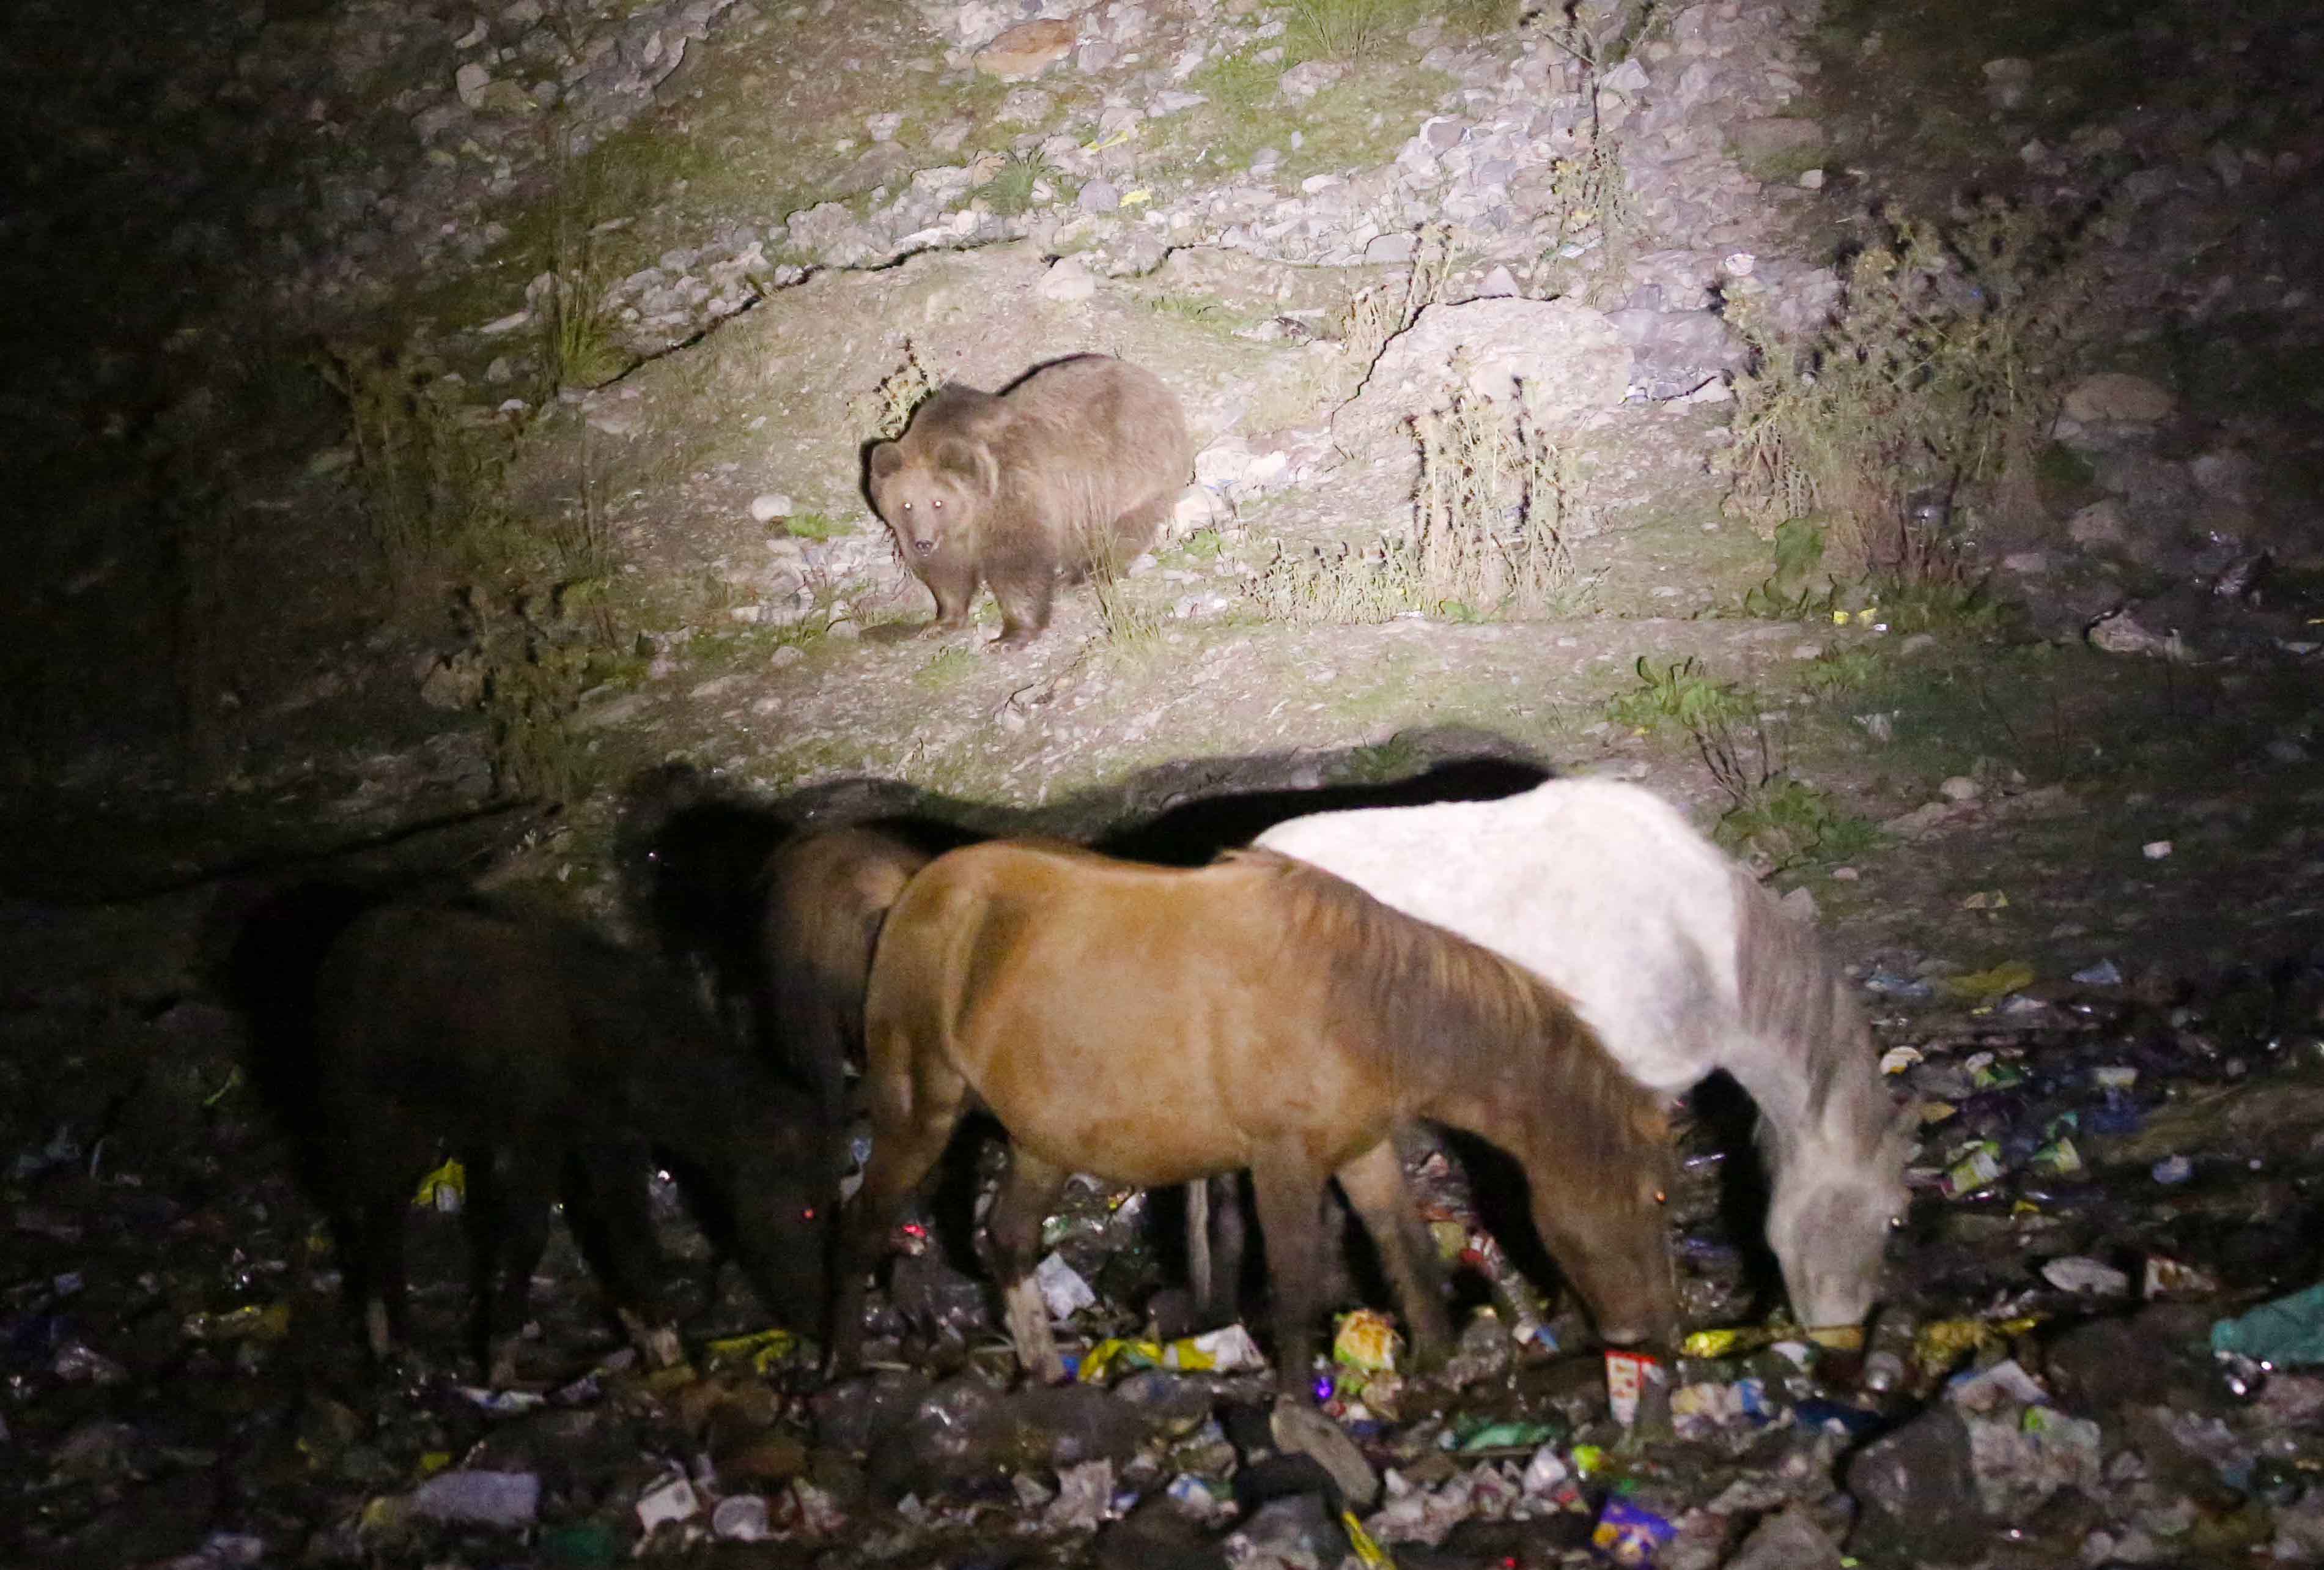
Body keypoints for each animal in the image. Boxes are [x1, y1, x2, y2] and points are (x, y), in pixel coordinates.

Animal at [295, 902, 832, 1386]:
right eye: (807, 1212)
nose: (820, 1320)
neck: (635, 1057)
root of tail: (343, 946)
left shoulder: (610, 1139)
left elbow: (631, 1231)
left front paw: (662, 1341)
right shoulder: (532, 1135)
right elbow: (530, 1235)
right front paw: (501, 1354)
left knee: (380, 1206)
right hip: (365, 1106)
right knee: (368, 1206)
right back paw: (393, 1336)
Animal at [827, 842, 1682, 1395]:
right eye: (1651, 1196)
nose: (1655, 1341)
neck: (1358, 1004)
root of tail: (915, 891)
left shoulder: (1363, 1148)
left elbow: (1403, 1246)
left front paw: (1439, 1361)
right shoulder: (1284, 1160)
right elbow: (1296, 1279)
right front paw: (1302, 1409)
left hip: (1042, 1141)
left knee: (1006, 1240)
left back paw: (1040, 1370)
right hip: (918, 1112)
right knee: (866, 1221)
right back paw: (843, 1363)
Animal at [874, 354, 1199, 646]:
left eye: (938, 503)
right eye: (906, 504)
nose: (923, 543)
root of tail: (1153, 382)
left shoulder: (1013, 496)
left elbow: (1018, 567)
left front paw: (1010, 636)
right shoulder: (944, 537)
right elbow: (946, 576)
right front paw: (940, 623)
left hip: (1129, 472)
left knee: (1121, 529)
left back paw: (1092, 572)